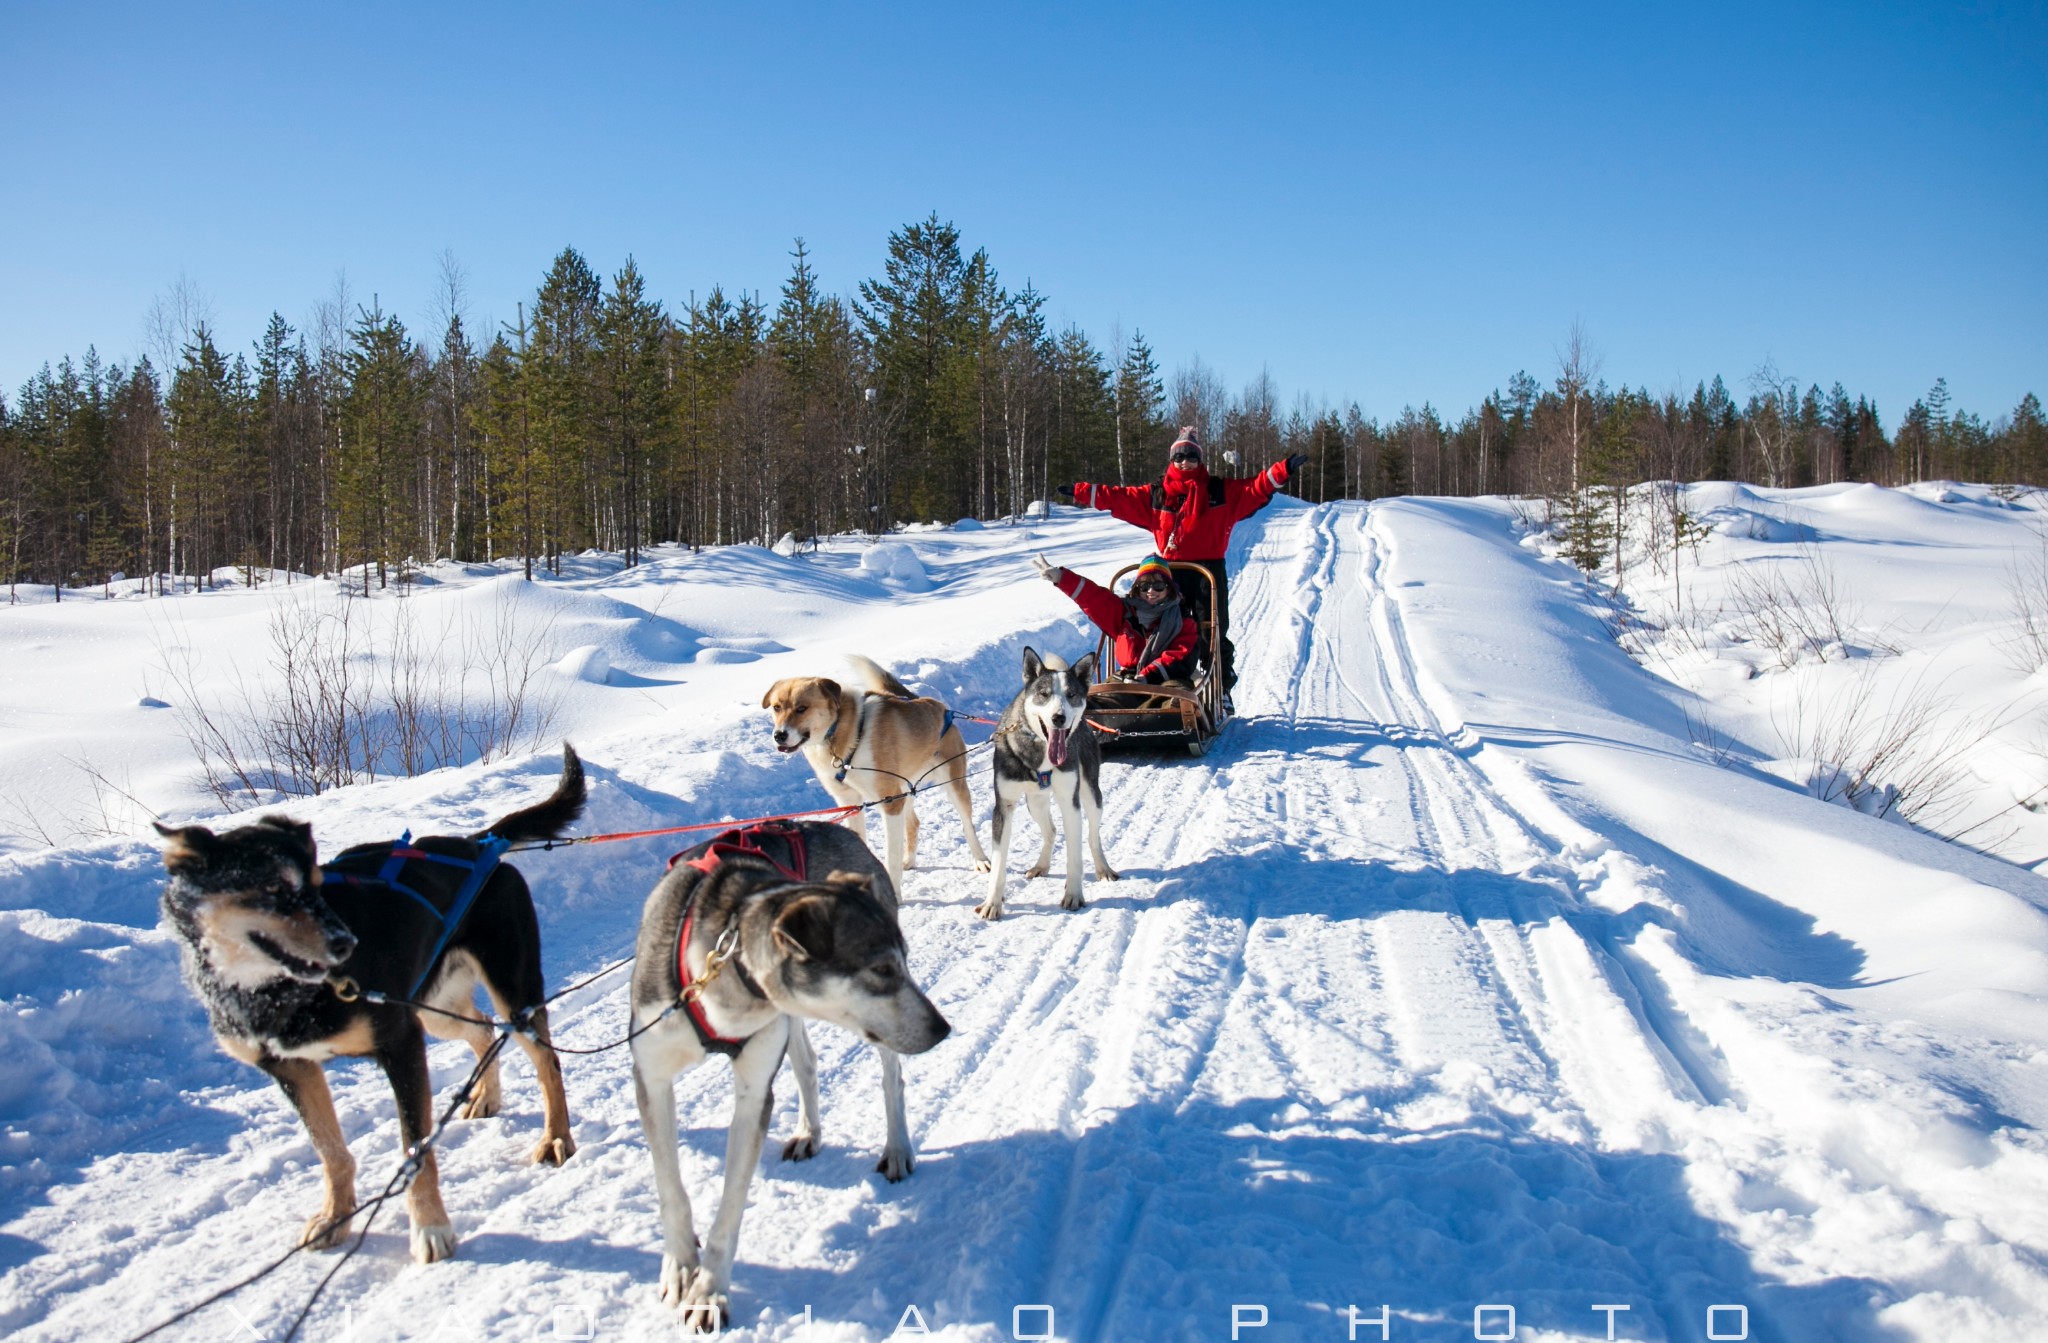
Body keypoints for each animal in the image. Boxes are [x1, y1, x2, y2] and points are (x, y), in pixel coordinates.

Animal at [155, 749, 589, 1261]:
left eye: (317, 884)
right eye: (274, 891)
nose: (346, 942)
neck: (275, 992)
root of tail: (478, 844)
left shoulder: (401, 1045)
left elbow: (415, 1150)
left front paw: (430, 1228)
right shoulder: (293, 1070)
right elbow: (331, 1151)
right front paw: (334, 1216)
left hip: (509, 992)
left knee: (547, 1061)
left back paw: (556, 1136)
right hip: (432, 1007)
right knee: (482, 1028)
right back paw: (487, 1095)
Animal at [622, 818, 950, 1334]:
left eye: (903, 961)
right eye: (881, 968)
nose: (942, 1028)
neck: (722, 967)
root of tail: (842, 831)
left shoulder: (753, 1093)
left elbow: (729, 1209)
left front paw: (710, 1293)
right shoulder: (652, 1078)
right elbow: (670, 1189)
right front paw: (679, 1266)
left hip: (870, 1038)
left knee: (891, 1080)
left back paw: (897, 1148)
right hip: (790, 1020)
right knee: (807, 1064)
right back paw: (808, 1131)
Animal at [765, 655, 995, 892]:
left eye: (802, 708)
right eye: (776, 707)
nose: (779, 735)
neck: (845, 734)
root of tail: (935, 704)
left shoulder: (890, 802)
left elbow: (891, 858)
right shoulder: (851, 803)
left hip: (952, 784)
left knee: (967, 824)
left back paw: (980, 860)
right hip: (904, 789)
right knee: (913, 823)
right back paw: (909, 860)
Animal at [978, 651, 1122, 925]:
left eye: (1071, 694)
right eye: (1044, 694)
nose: (1059, 718)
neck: (1041, 753)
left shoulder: (1070, 802)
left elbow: (1074, 856)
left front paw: (1074, 895)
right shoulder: (1004, 806)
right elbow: (999, 862)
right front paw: (992, 903)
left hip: (1091, 796)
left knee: (1093, 835)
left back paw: (1103, 868)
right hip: (1035, 803)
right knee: (1051, 831)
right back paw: (1041, 865)